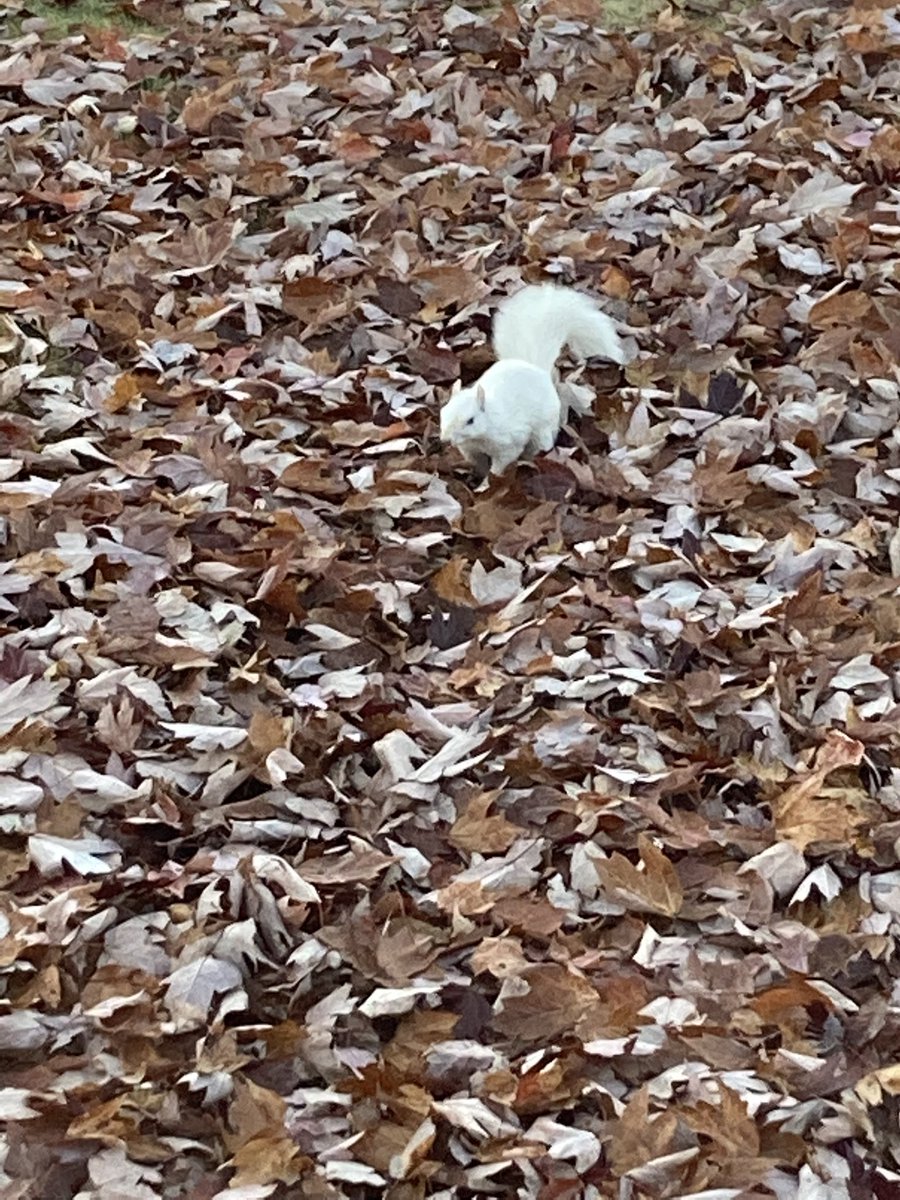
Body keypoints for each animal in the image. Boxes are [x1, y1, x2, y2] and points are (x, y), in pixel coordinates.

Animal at [439, 283, 627, 477]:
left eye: (470, 421)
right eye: (443, 411)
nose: (445, 439)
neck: (479, 437)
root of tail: (537, 369)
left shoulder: (509, 443)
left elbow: (501, 464)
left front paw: (490, 479)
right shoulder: (470, 449)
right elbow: (477, 462)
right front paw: (478, 475)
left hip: (542, 432)